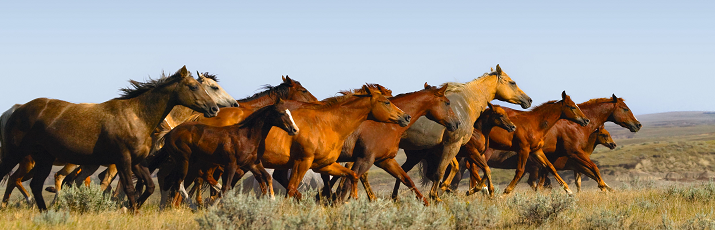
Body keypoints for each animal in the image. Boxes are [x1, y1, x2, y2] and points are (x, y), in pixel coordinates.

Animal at [162, 99, 300, 207]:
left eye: (289, 113)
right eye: (281, 113)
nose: (295, 129)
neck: (246, 136)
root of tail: (170, 134)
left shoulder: (252, 163)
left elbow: (267, 177)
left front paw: (272, 199)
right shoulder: (231, 164)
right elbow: (226, 188)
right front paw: (212, 208)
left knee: (175, 182)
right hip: (184, 160)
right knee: (179, 184)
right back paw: (191, 206)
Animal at [260, 83, 412, 199]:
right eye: (387, 102)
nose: (406, 117)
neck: (326, 124)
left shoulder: (323, 164)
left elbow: (351, 175)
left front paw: (351, 198)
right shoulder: (303, 161)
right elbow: (291, 189)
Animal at [322, 83, 462, 205]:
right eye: (447, 103)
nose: (457, 123)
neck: (385, 125)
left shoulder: (385, 160)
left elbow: (407, 180)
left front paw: (428, 204)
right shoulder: (364, 160)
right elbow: (347, 184)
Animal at [392, 64, 532, 201]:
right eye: (512, 82)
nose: (529, 100)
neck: (465, 104)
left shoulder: (455, 148)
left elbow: (459, 169)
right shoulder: (454, 145)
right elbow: (441, 172)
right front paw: (437, 195)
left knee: (403, 172)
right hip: (415, 156)